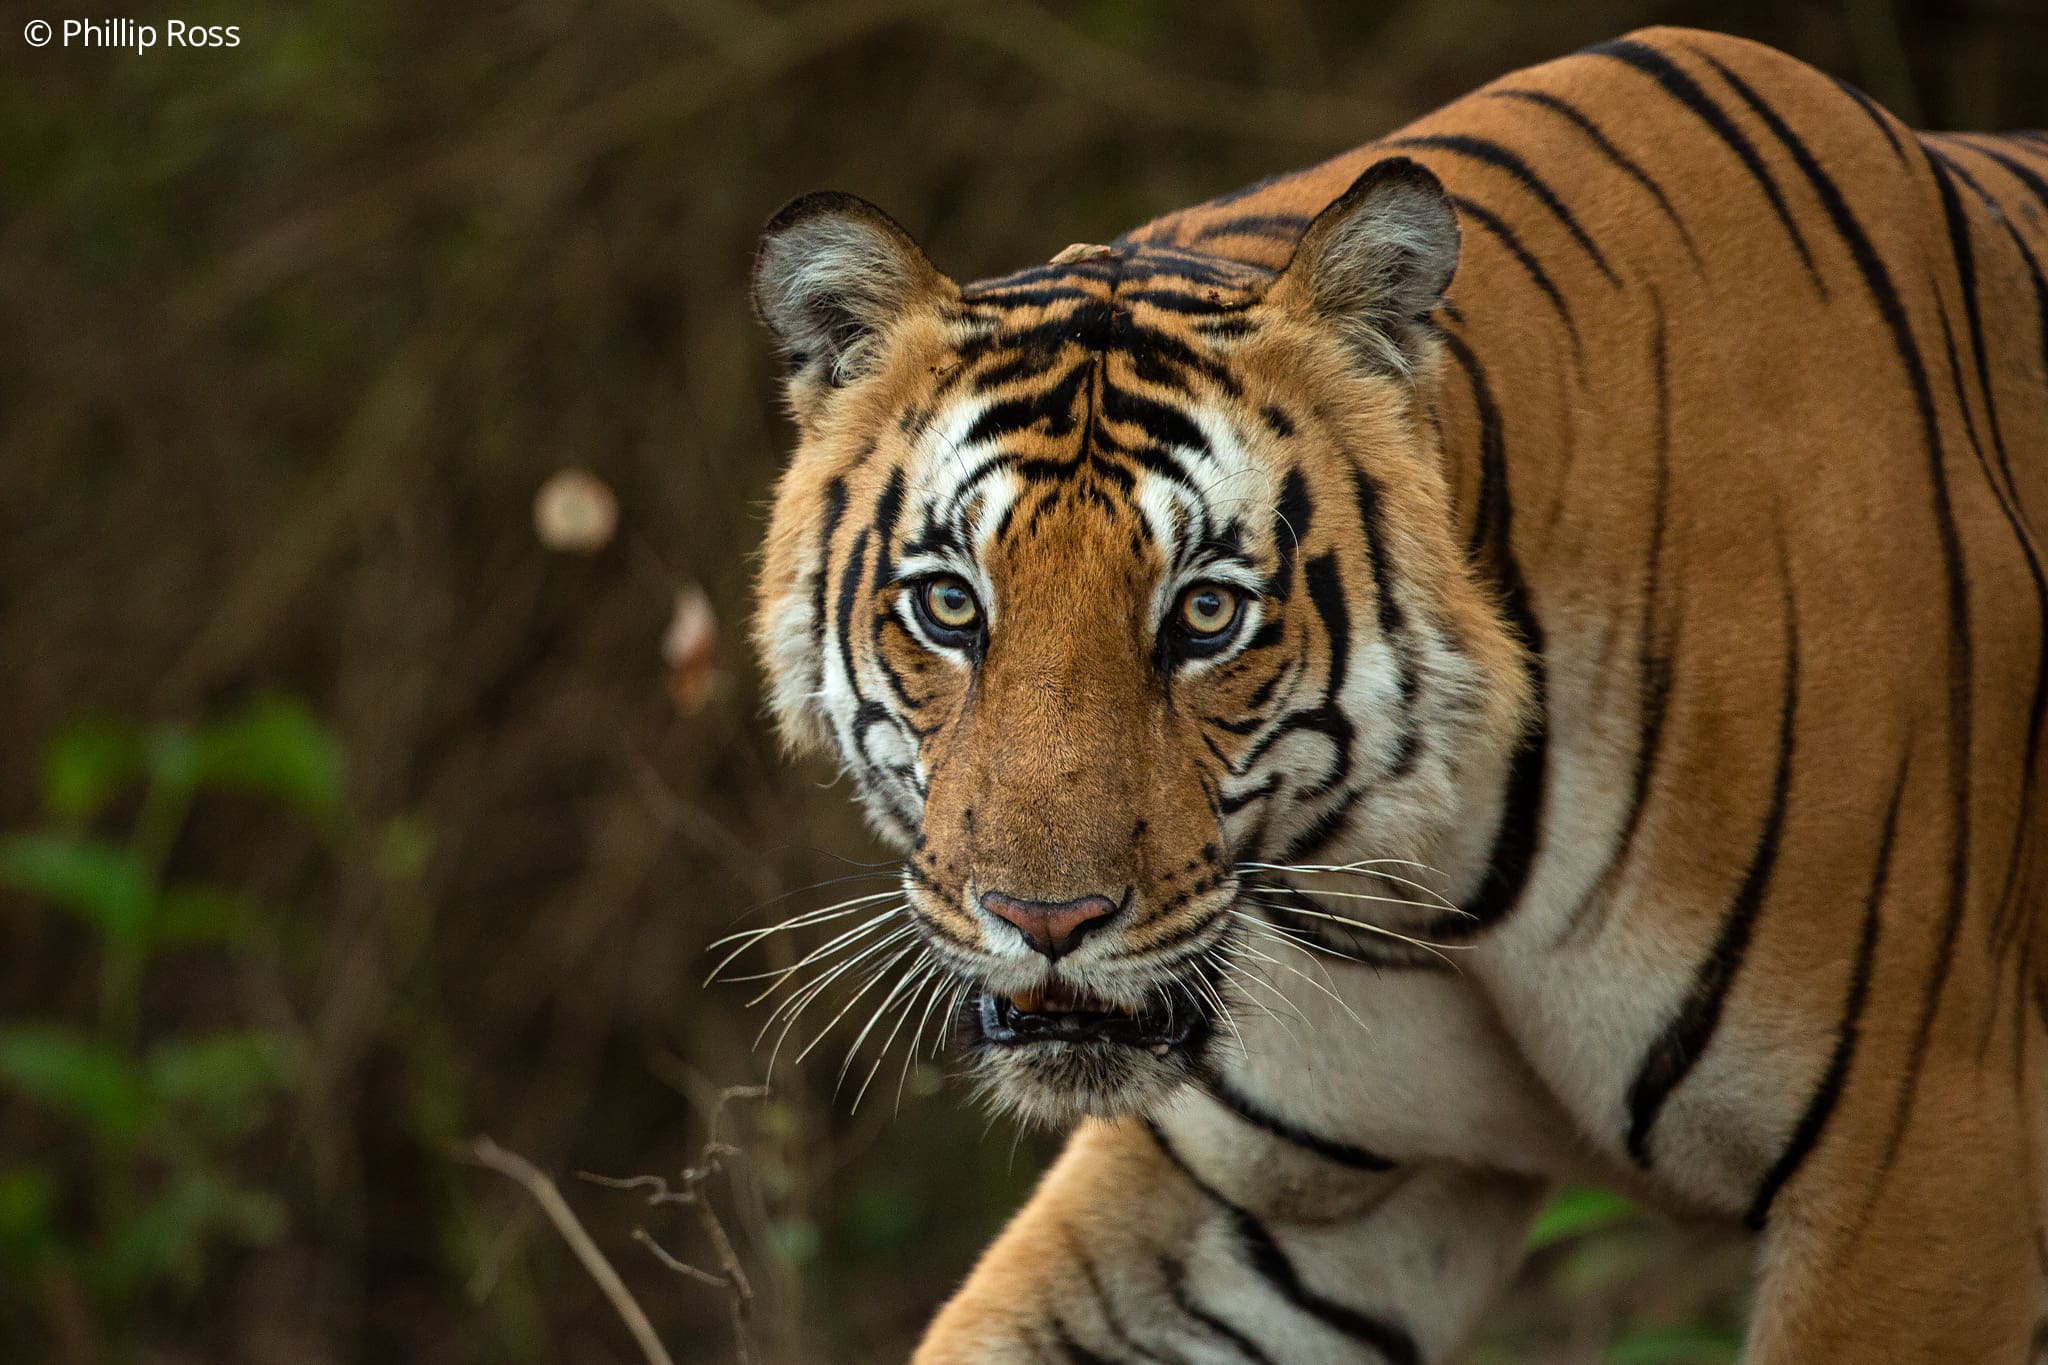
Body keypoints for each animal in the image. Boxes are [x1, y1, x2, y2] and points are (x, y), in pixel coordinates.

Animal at [745, 24, 2048, 1365]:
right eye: (951, 607)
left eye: (1203, 614)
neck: (1420, 879)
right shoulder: (1269, 1199)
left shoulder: (1919, 1157)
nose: (1043, 922)